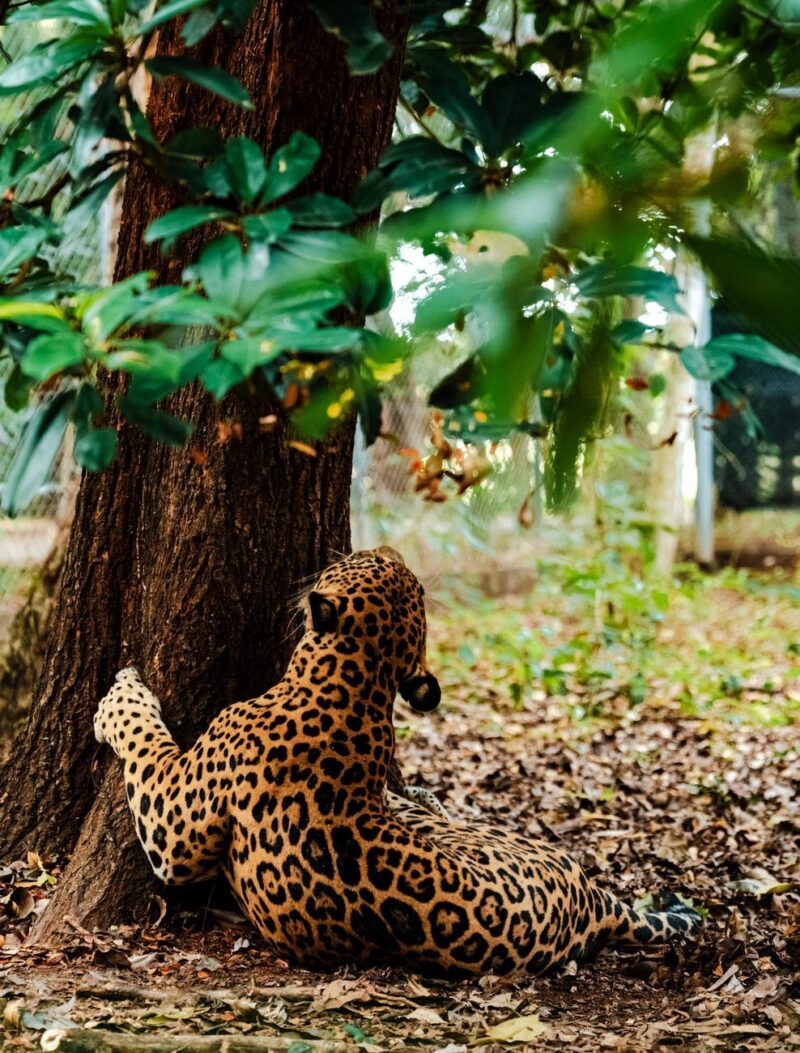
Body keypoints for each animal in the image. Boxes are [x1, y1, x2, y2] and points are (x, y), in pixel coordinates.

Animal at [95, 546, 700, 978]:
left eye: (363, 561)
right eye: (393, 569)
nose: (386, 546)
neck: (357, 685)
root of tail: (591, 903)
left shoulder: (176, 826)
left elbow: (145, 743)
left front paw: (119, 695)